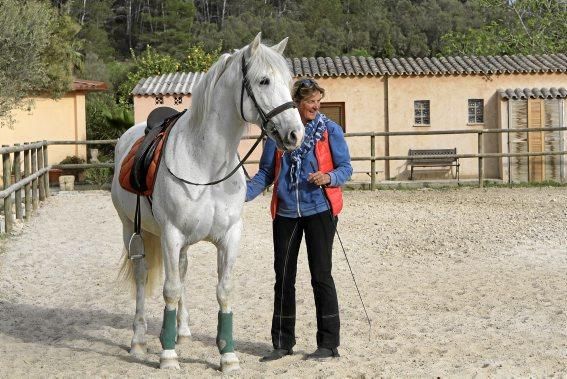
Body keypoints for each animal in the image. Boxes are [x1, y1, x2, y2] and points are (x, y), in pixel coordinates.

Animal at [112, 34, 306, 372]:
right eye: (264, 80)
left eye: (289, 81)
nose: (296, 134)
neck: (206, 165)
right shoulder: (171, 235)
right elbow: (170, 290)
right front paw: (168, 356)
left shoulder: (229, 237)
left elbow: (223, 292)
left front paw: (227, 355)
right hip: (131, 232)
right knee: (142, 277)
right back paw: (138, 341)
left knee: (182, 271)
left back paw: (182, 332)